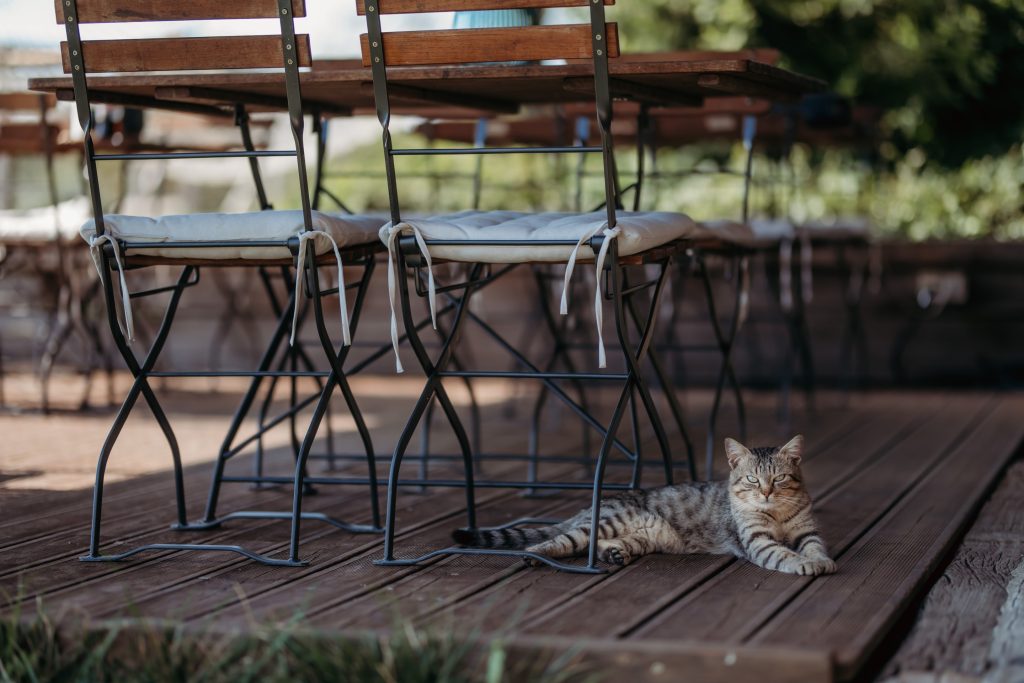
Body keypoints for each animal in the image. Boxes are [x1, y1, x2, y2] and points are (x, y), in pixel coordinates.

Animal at [452, 432, 835, 577]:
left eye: (779, 479)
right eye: (753, 480)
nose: (766, 492)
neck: (777, 513)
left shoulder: (807, 531)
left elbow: (814, 546)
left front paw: (821, 561)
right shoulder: (757, 540)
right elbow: (784, 554)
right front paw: (805, 564)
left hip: (645, 536)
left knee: (597, 543)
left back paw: (613, 554)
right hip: (604, 522)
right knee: (559, 540)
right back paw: (534, 556)